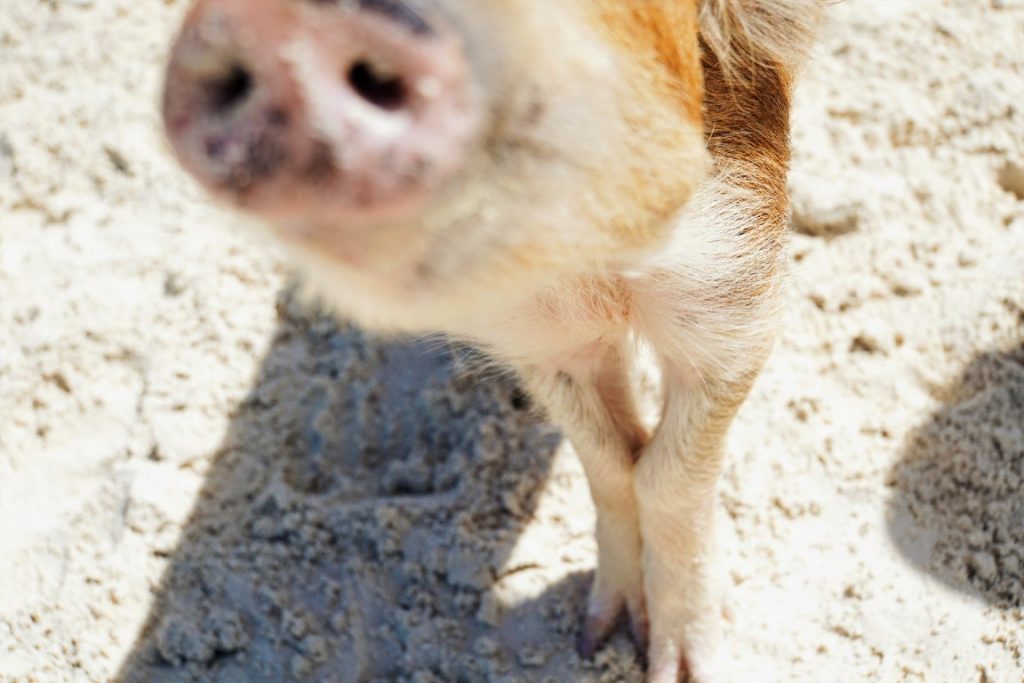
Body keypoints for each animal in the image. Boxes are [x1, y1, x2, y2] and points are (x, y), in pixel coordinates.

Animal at [161, 2, 823, 679]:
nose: (284, 28)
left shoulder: (736, 274)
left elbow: (669, 475)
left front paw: (684, 667)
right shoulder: (538, 335)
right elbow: (614, 461)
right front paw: (595, 638)